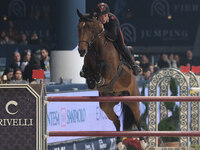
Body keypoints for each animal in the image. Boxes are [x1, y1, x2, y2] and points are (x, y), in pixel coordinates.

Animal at [76, 9, 145, 149]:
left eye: (90, 27)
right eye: (78, 28)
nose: (81, 51)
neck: (96, 48)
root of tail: (120, 96)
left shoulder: (111, 71)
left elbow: (102, 67)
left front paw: (98, 77)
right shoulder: (87, 67)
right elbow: (85, 72)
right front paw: (92, 81)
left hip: (133, 100)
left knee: (137, 119)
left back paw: (142, 142)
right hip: (106, 105)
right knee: (117, 121)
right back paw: (119, 143)